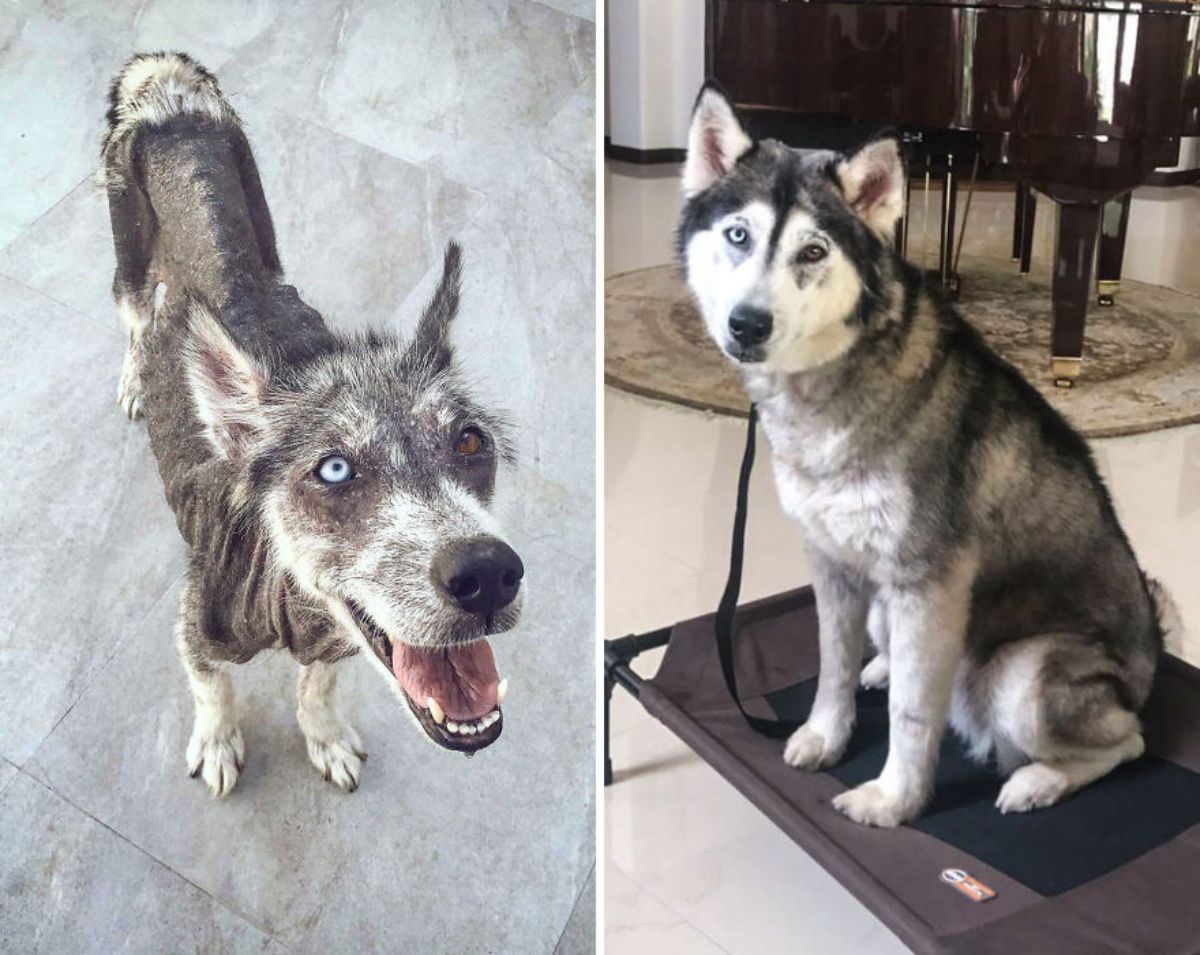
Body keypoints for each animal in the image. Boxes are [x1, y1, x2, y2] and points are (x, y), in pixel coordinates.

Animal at [100, 52, 518, 796]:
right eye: (334, 468)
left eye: (471, 441)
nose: (489, 572)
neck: (289, 599)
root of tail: (170, 97)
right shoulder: (195, 631)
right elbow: (213, 690)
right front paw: (218, 741)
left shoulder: (338, 641)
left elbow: (318, 687)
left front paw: (325, 737)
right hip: (128, 261)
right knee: (134, 318)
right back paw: (134, 377)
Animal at [681, 83, 1176, 830]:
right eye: (738, 235)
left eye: (813, 251)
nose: (748, 324)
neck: (837, 383)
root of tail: (1151, 665)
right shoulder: (832, 563)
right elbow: (831, 664)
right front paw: (827, 734)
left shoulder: (929, 583)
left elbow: (914, 715)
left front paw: (895, 799)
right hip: (892, 609)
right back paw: (884, 666)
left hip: (1024, 677)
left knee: (1128, 741)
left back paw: (1037, 781)